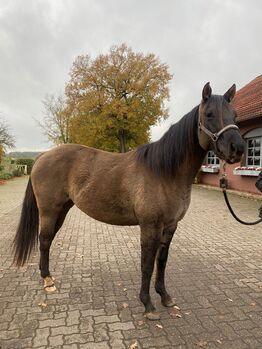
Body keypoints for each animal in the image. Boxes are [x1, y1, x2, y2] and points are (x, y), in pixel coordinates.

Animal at [12, 83, 246, 320]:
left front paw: (165, 296)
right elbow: (147, 265)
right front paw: (148, 305)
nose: (237, 149)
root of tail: (43, 156)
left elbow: (161, 262)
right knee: (44, 240)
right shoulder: (150, 225)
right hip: (49, 210)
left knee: (48, 240)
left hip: (62, 210)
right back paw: (48, 281)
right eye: (209, 115)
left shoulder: (171, 226)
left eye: (234, 114)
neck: (164, 172)